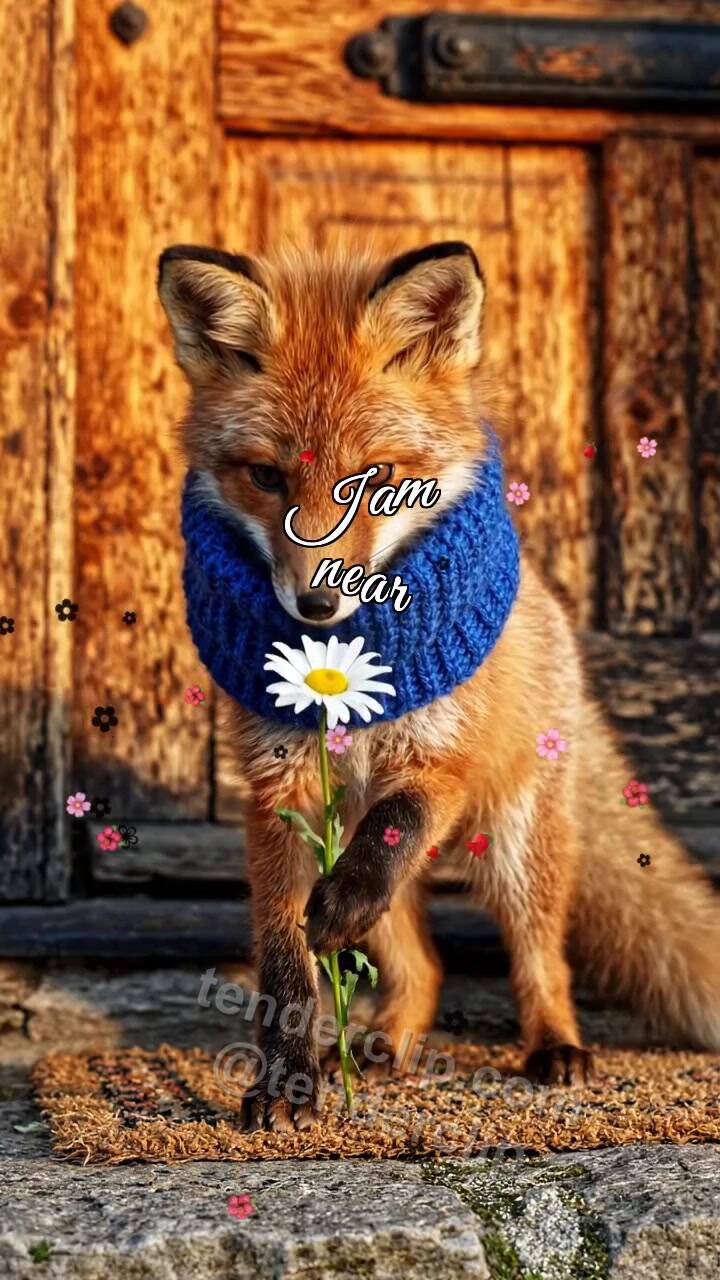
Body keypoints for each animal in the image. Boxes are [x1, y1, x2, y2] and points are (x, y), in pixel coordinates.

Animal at [158, 239, 720, 1132]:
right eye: (267, 478)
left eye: (377, 476)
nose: (317, 605)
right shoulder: (280, 794)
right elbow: (286, 964)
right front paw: (285, 1084)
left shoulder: (439, 762)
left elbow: (398, 826)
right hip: (364, 849)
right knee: (421, 964)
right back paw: (386, 1045)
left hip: (518, 848)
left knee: (539, 956)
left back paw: (557, 1048)